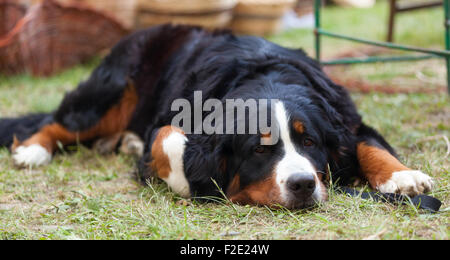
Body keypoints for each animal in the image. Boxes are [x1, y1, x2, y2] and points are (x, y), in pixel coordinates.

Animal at [0, 24, 436, 209]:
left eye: (309, 142)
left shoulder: (343, 116)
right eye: (259, 151)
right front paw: (182, 178)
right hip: (112, 87)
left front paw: (402, 176)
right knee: (61, 122)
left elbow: (366, 143)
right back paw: (34, 151)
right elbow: (169, 137)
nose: (302, 184)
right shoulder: (172, 122)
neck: (265, 76)